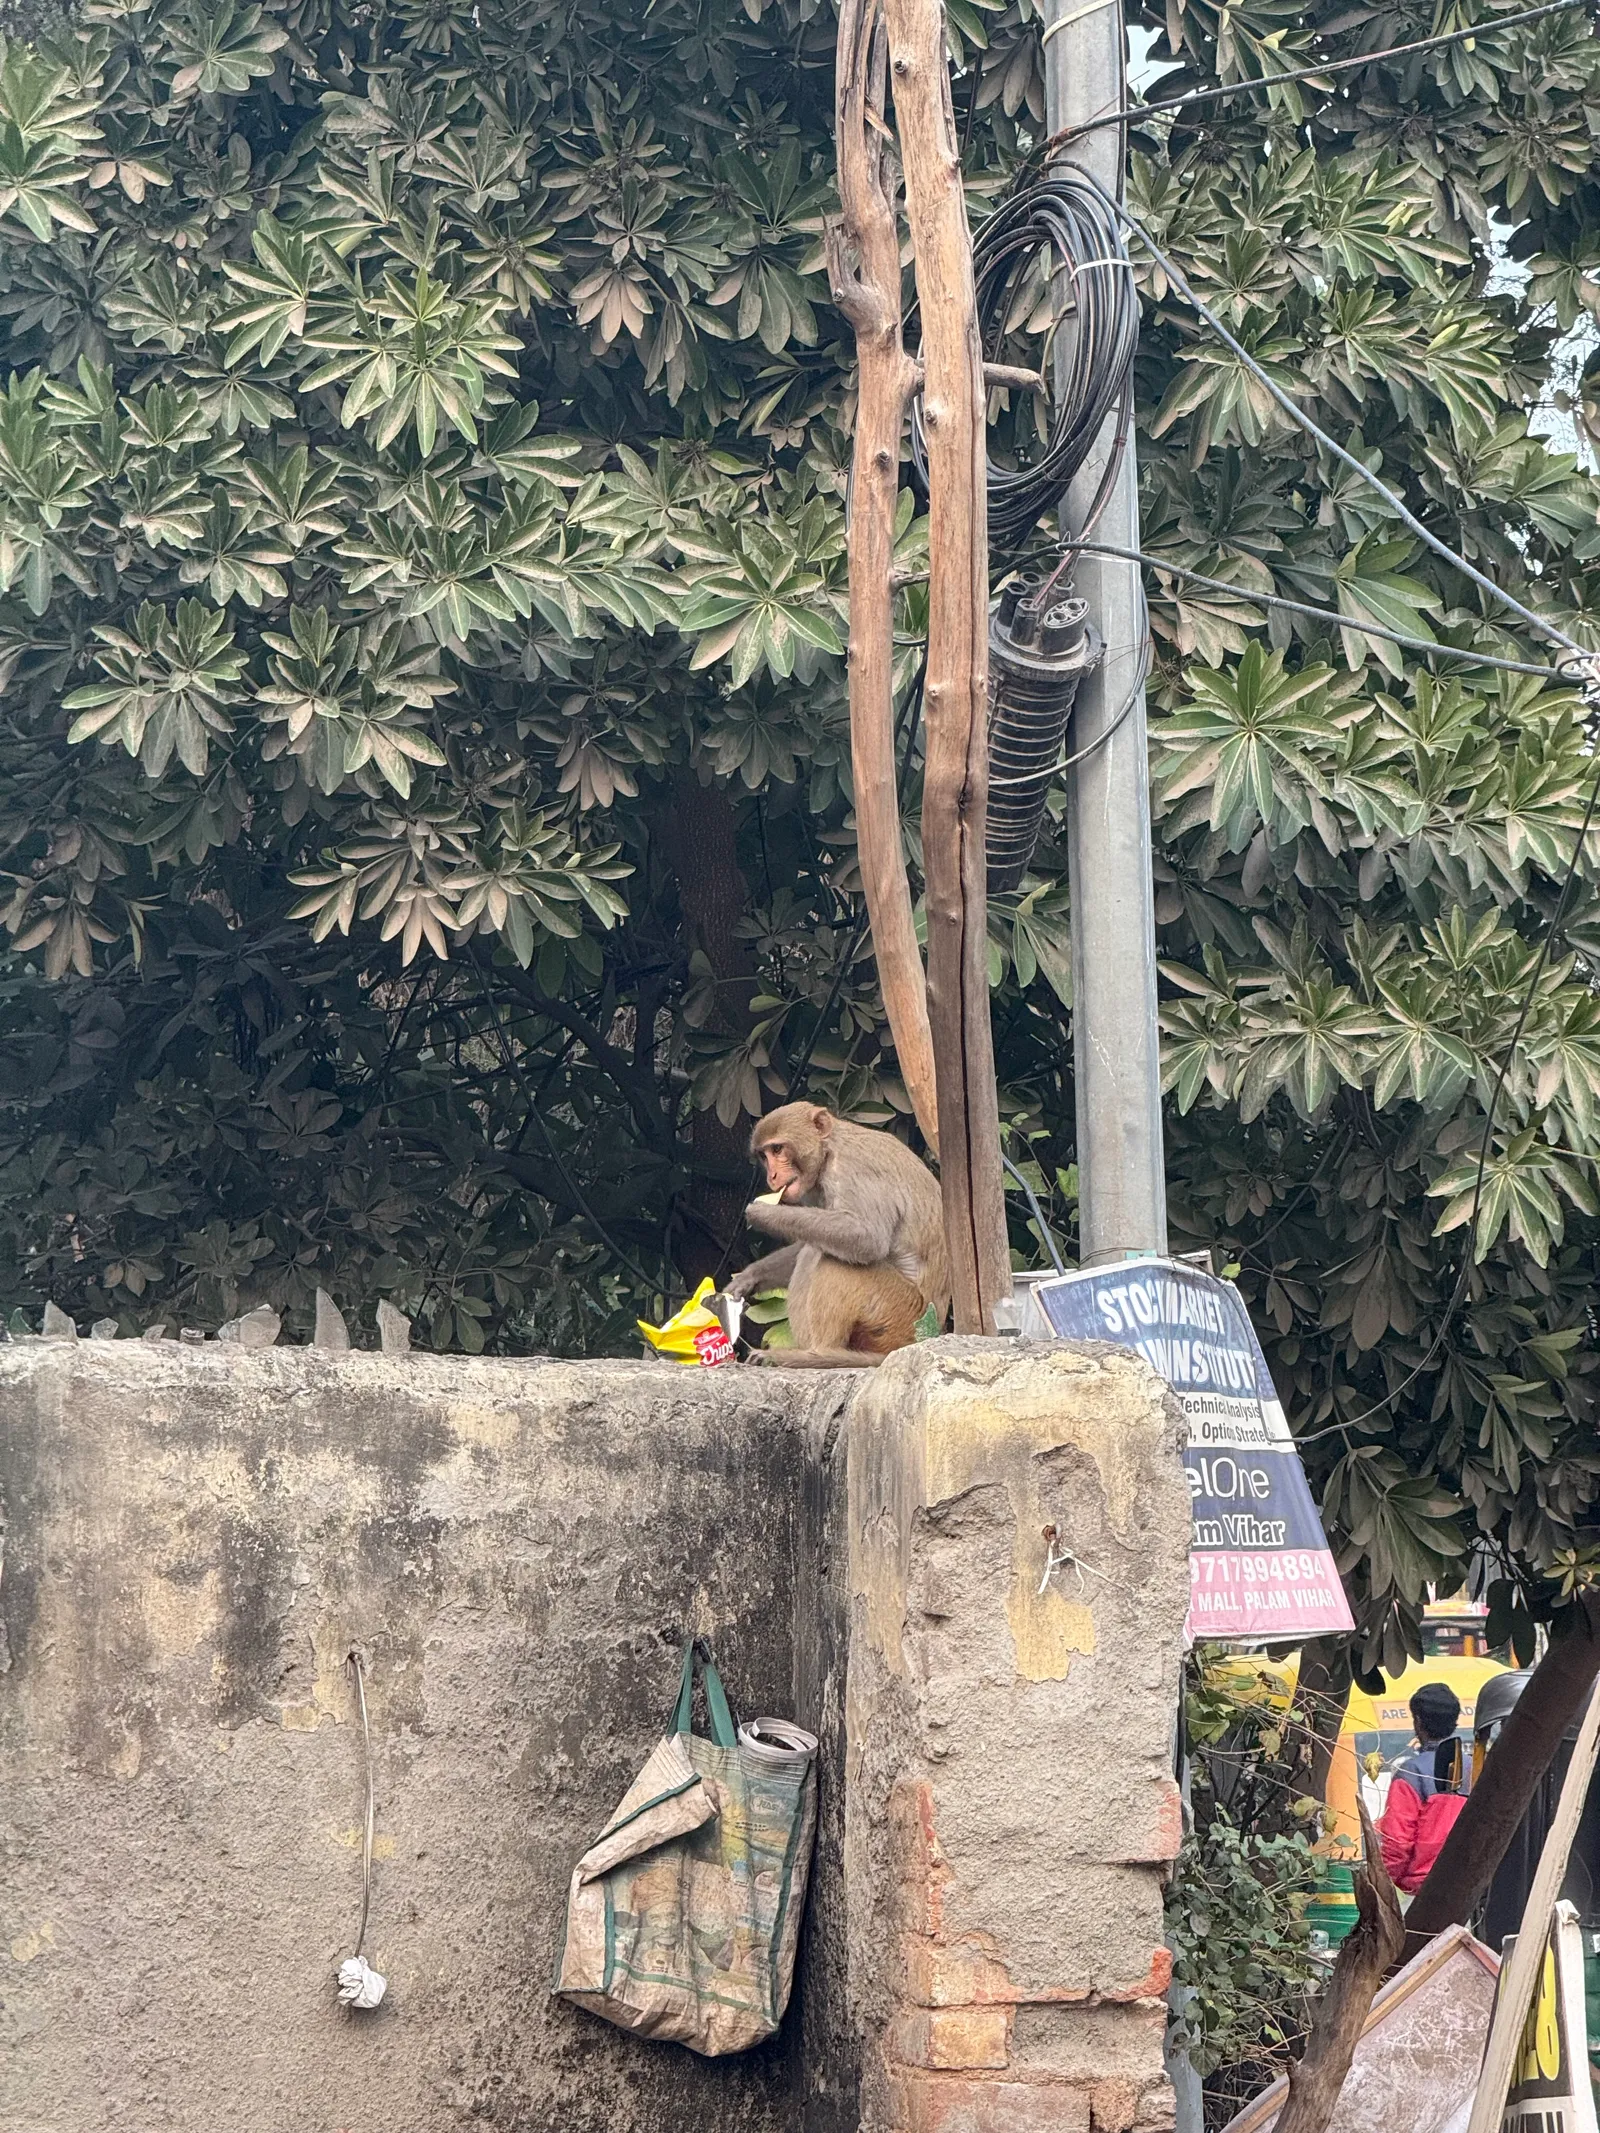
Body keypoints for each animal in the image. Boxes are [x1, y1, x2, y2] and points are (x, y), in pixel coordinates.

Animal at [724, 1103, 949, 1368]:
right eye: (763, 1155)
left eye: (777, 1149)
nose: (772, 1176)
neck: (829, 1150)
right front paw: (748, 1277)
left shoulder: (852, 1169)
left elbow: (867, 1238)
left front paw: (765, 1213)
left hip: (902, 1314)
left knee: (832, 1260)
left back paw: (814, 1354)